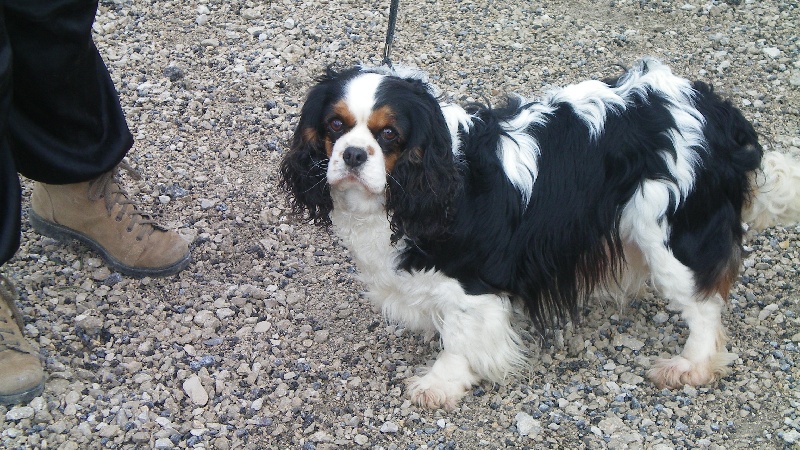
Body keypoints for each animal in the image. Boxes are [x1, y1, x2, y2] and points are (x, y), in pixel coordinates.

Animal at [280, 58, 800, 409]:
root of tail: (716, 111)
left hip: (672, 235)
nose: (352, 155)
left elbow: (461, 339)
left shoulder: (474, 287)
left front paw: (440, 383)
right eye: (335, 125)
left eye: (388, 134)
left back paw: (691, 365)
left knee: (704, 305)